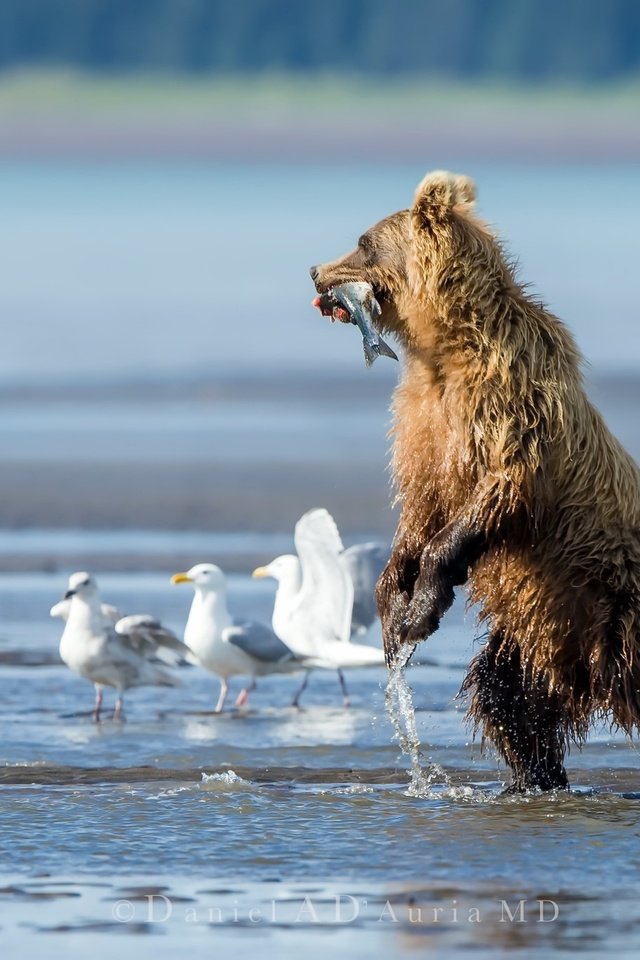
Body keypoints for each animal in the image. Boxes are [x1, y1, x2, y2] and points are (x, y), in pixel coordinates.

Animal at [310, 169, 640, 792]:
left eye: (363, 242)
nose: (315, 270)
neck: (446, 349)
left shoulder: (512, 410)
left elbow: (493, 496)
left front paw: (422, 608)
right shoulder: (425, 426)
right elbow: (421, 508)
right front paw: (393, 605)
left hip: (612, 605)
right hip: (543, 631)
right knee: (507, 694)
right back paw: (533, 778)